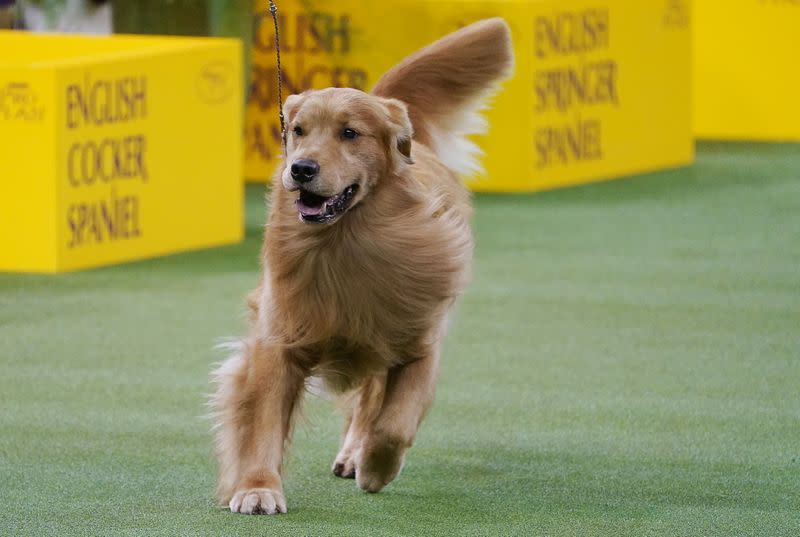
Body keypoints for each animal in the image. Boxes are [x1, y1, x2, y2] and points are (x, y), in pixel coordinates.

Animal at [211, 17, 512, 516]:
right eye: (297, 130)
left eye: (350, 133)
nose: (301, 168)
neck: (346, 244)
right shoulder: (280, 338)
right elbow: (263, 421)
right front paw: (257, 488)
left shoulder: (418, 344)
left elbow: (393, 424)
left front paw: (375, 467)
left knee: (371, 404)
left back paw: (356, 455)